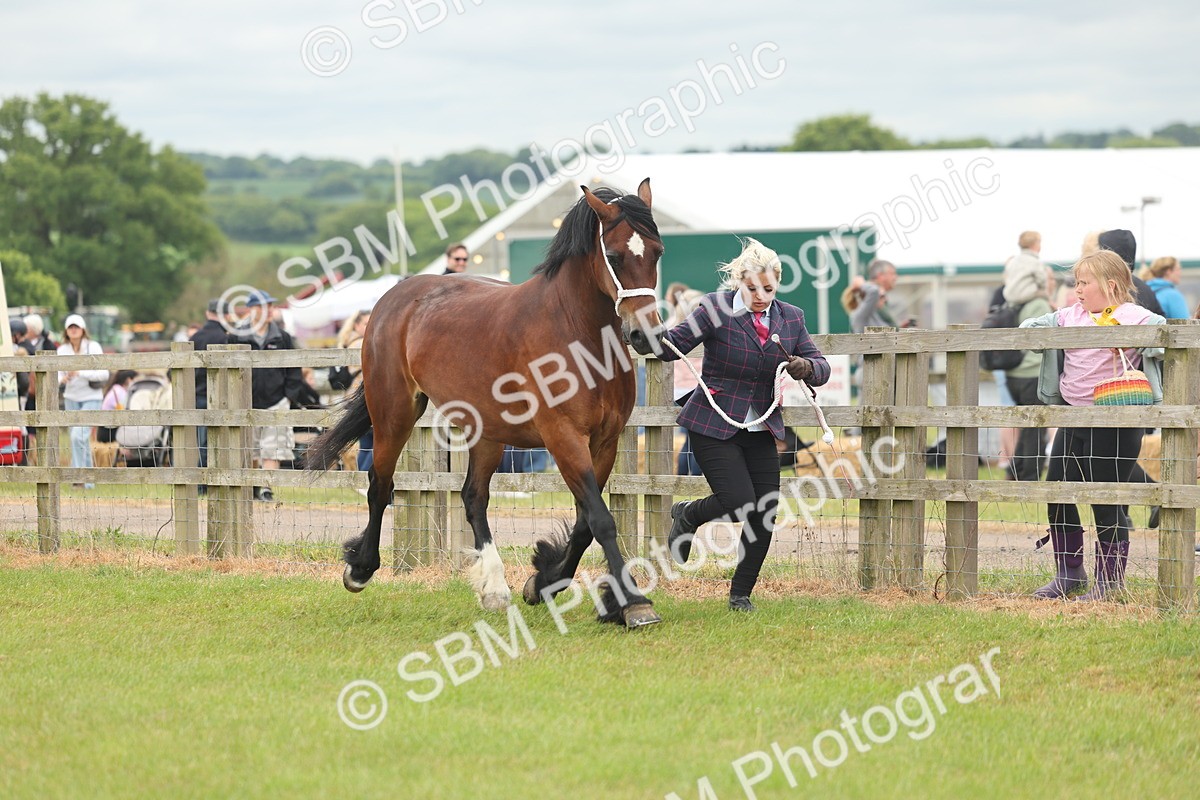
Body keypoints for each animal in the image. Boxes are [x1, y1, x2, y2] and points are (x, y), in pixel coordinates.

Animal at [306, 179, 667, 629]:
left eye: (657, 251)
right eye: (615, 256)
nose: (646, 336)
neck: (575, 333)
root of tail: (396, 296)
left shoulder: (606, 441)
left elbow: (586, 522)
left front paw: (544, 581)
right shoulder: (564, 437)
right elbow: (600, 519)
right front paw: (635, 604)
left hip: (487, 433)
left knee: (473, 497)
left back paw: (494, 587)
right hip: (393, 413)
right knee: (380, 484)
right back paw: (361, 568)